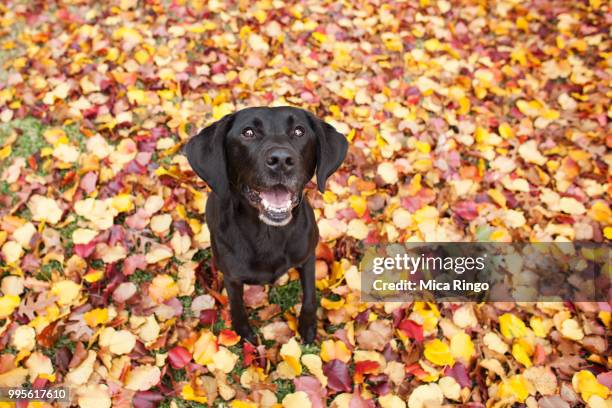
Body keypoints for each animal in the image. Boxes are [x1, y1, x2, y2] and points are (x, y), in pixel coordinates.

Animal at [185, 107, 350, 342]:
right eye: (248, 132)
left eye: (299, 131)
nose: (281, 160)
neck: (269, 233)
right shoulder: (232, 277)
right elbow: (237, 305)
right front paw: (243, 332)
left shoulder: (308, 257)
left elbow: (310, 296)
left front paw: (308, 326)